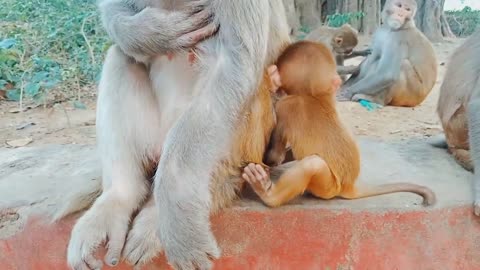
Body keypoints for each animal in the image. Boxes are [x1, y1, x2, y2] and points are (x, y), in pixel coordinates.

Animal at [62, 0, 290, 270]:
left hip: (245, 145)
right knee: (121, 55)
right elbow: (115, 9)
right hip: (153, 137)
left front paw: (178, 206)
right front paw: (151, 33)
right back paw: (120, 197)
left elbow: (233, 65)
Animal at [242, 40, 436, 207]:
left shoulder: (285, 107)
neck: (313, 95)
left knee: (312, 164)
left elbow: (276, 156)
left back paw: (268, 194)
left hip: (328, 187)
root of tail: (349, 186)